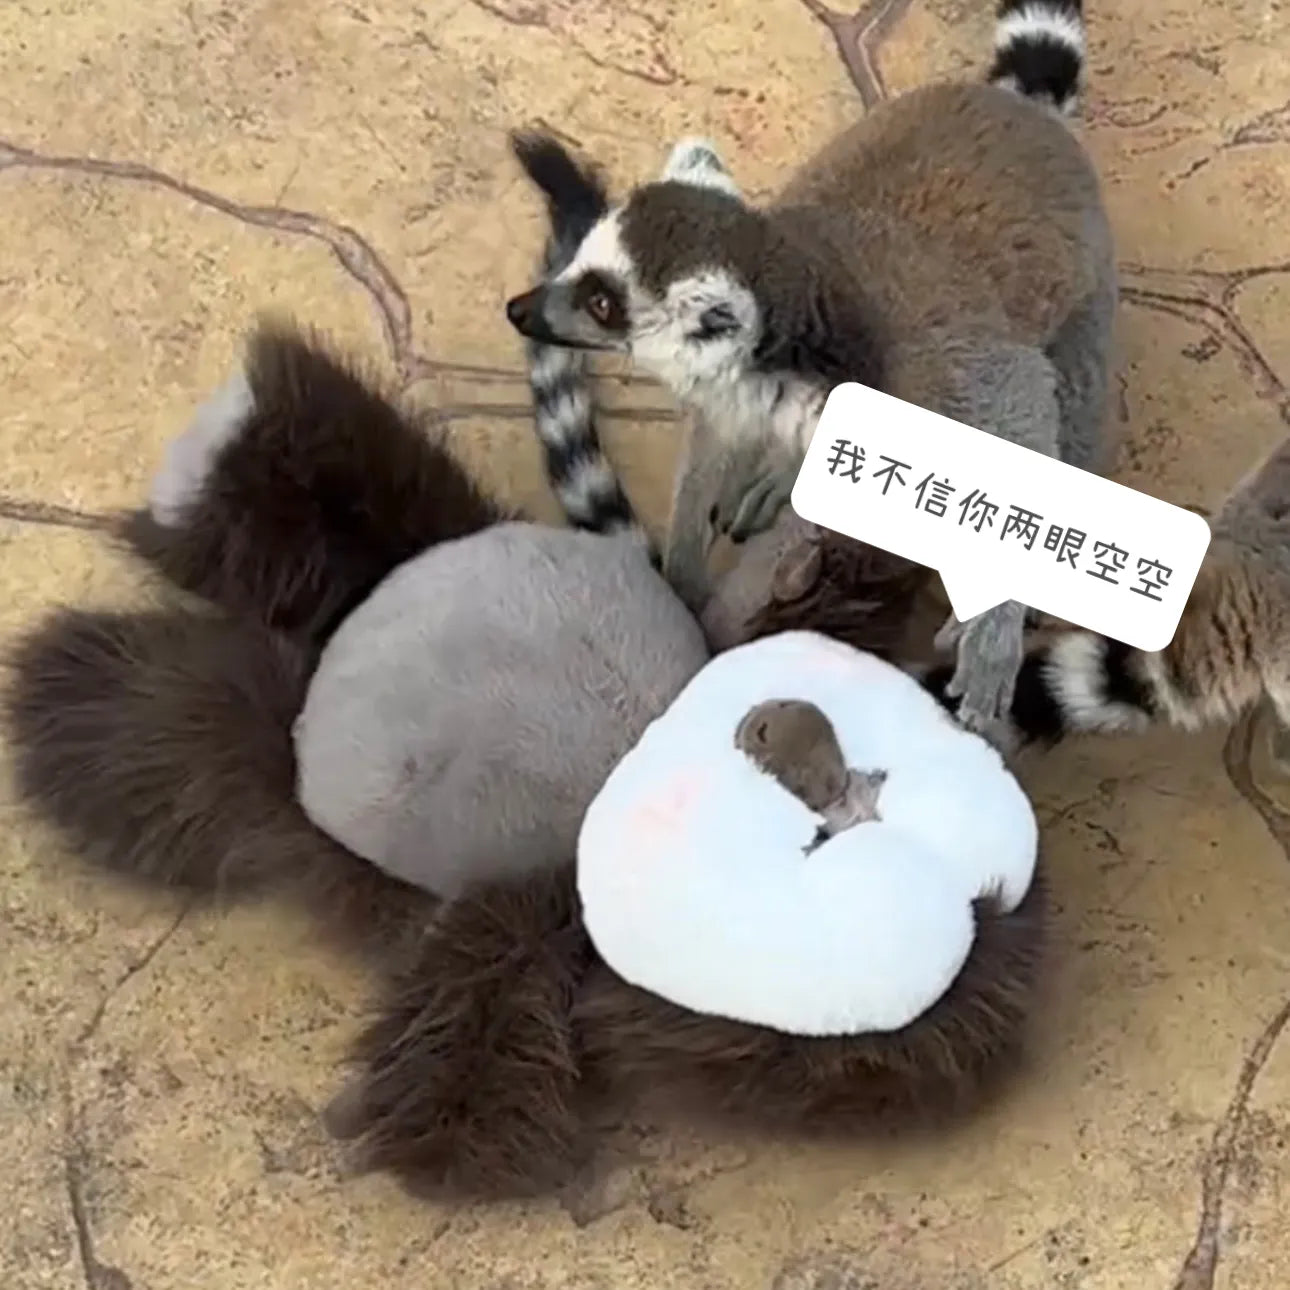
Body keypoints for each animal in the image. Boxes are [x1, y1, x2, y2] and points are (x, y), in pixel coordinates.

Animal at [503, 0, 1113, 738]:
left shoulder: (932, 377)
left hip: (1087, 308)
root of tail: (1021, 109)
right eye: (582, 264)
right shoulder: (734, 396)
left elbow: (1019, 401)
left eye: (602, 303)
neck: (796, 359)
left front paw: (994, 629)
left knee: (1068, 404)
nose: (520, 310)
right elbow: (714, 442)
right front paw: (682, 576)